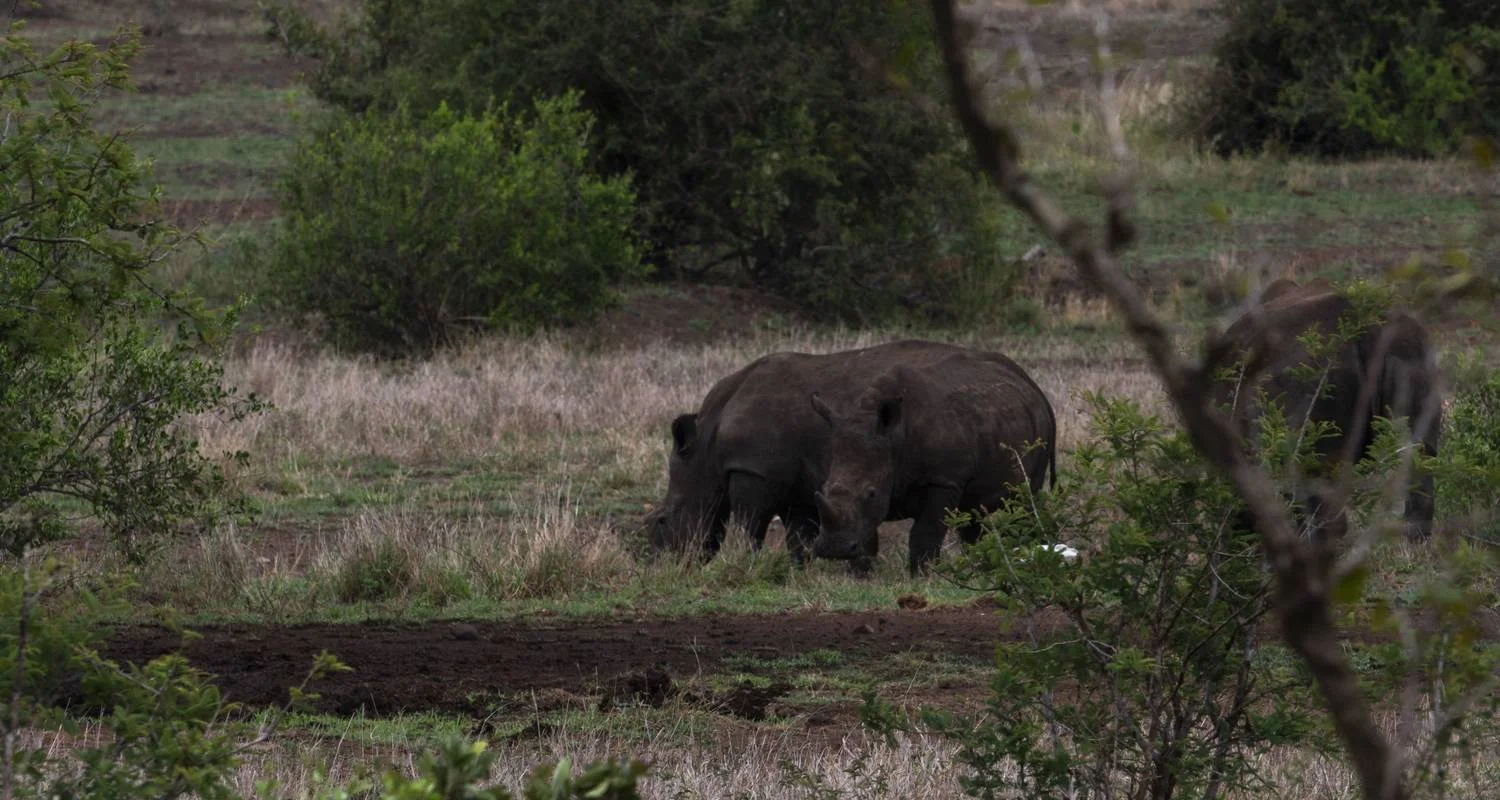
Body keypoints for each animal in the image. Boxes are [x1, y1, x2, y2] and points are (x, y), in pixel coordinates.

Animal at [647, 340, 1003, 560]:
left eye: (662, 520)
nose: (661, 565)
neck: (706, 447)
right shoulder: (798, 484)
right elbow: (798, 537)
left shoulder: (751, 467)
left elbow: (749, 523)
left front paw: (742, 561)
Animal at [809, 349, 1057, 575]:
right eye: (824, 488)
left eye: (871, 492)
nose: (833, 549)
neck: (893, 437)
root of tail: (1032, 386)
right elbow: (867, 532)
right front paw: (859, 576)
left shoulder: (943, 481)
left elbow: (925, 532)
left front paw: (923, 576)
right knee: (973, 510)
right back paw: (982, 568)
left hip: (1040, 431)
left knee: (1025, 499)